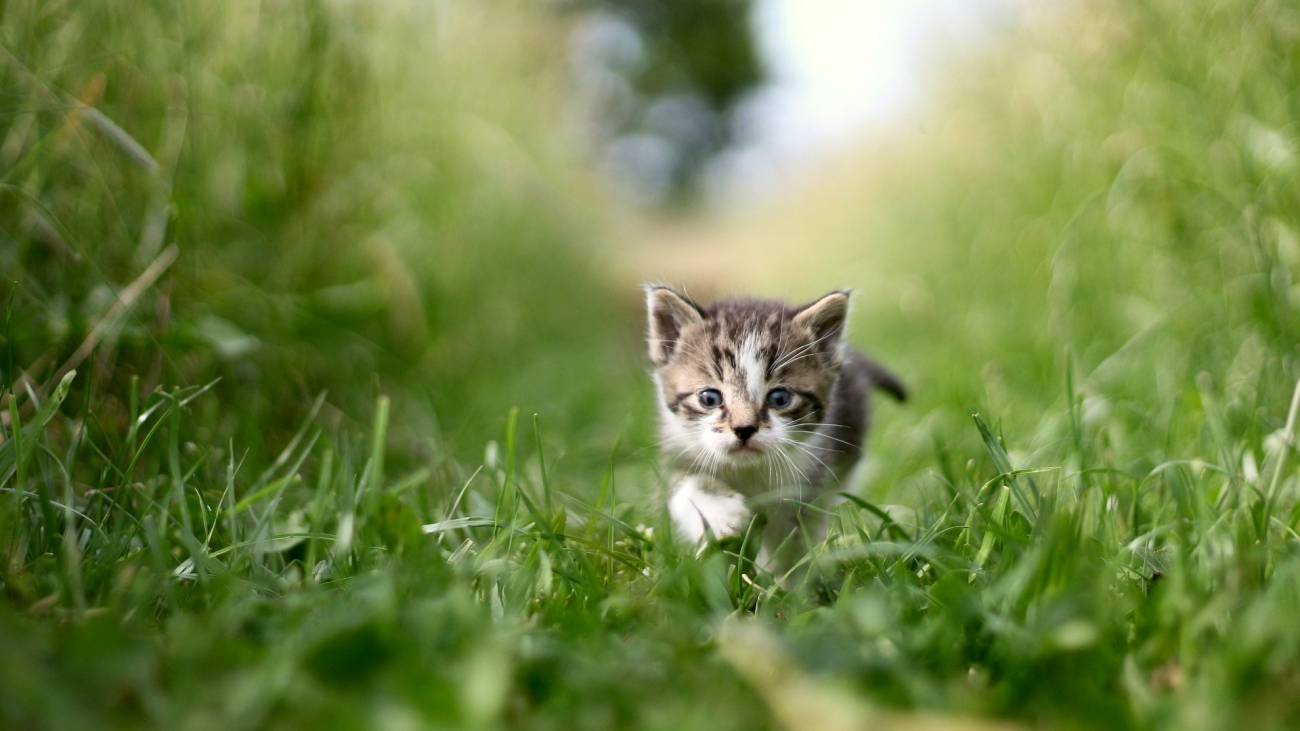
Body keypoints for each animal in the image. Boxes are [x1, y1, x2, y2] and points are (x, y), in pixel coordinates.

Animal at [642, 282, 904, 572]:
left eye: (779, 398)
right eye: (709, 398)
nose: (744, 429)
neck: (748, 471)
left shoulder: (809, 483)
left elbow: (793, 541)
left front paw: (782, 579)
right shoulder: (678, 450)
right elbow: (685, 488)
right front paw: (721, 516)